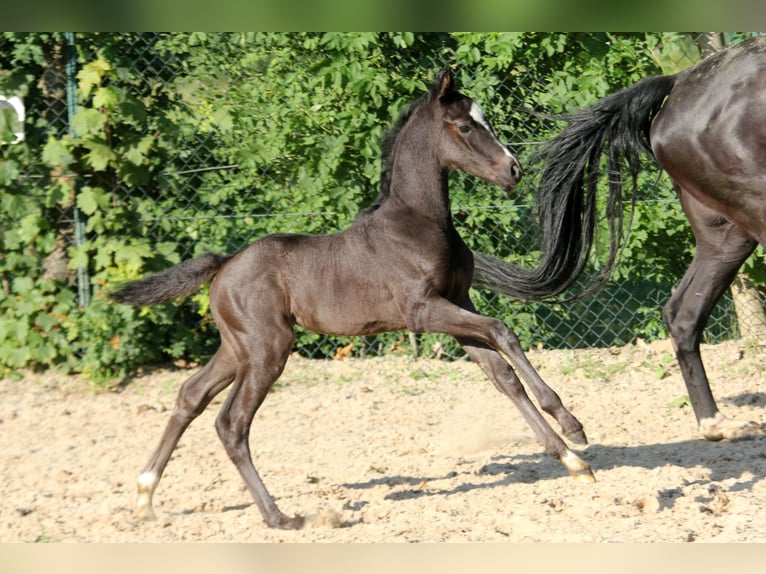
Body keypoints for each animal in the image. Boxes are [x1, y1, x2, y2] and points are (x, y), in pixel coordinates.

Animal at [108, 70, 592, 532]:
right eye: (465, 126)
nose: (513, 170)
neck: (417, 222)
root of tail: (224, 264)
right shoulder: (423, 311)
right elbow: (502, 331)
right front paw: (572, 425)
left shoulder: (458, 303)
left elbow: (502, 375)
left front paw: (571, 458)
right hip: (268, 349)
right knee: (232, 423)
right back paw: (282, 517)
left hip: (237, 348)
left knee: (190, 395)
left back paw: (145, 496)